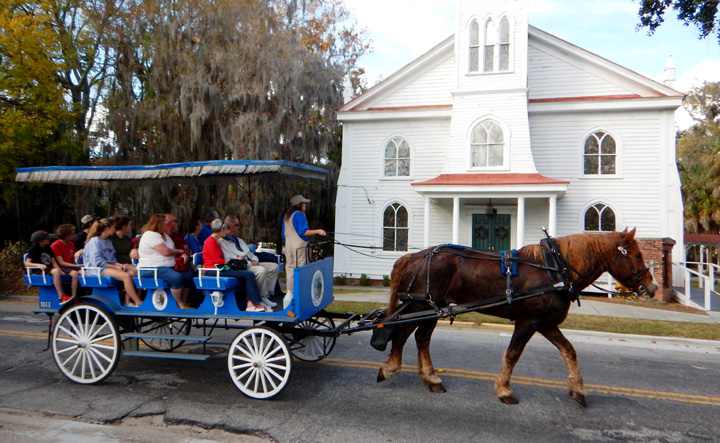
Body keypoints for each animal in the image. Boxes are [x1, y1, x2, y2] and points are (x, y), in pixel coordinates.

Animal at [375, 228, 657, 406]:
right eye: (636, 255)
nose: (652, 287)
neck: (555, 270)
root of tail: (415, 256)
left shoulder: (546, 324)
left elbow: (569, 351)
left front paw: (577, 389)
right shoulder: (528, 322)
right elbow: (513, 354)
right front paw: (504, 390)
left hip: (434, 308)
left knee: (422, 338)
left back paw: (431, 379)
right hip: (418, 305)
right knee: (401, 333)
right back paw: (391, 368)